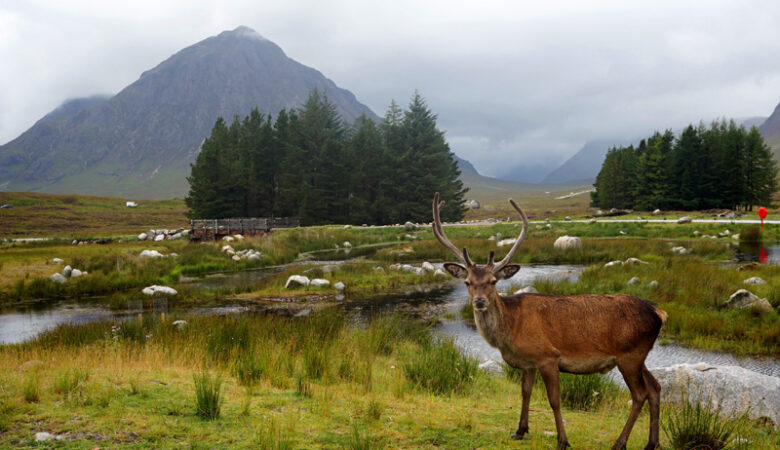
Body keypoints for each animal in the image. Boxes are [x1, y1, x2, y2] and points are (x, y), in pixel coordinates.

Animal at [432, 192, 666, 450]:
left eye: (493, 281)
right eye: (467, 282)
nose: (480, 301)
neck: (510, 330)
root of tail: (659, 312)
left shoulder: (548, 357)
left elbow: (554, 400)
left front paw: (563, 440)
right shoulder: (528, 363)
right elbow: (525, 393)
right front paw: (520, 430)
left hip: (629, 355)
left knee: (640, 394)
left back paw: (620, 443)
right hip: (639, 356)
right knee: (655, 387)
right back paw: (651, 443)